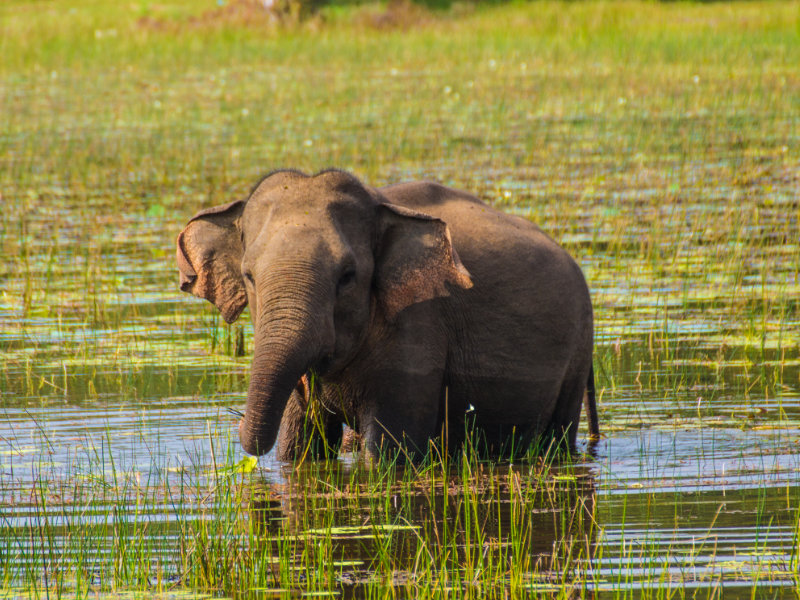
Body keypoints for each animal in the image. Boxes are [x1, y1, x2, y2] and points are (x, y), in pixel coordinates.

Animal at [177, 169, 600, 460]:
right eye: (249, 275)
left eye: (348, 276)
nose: (236, 423)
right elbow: (299, 450)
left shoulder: (419, 328)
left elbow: (388, 453)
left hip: (577, 357)